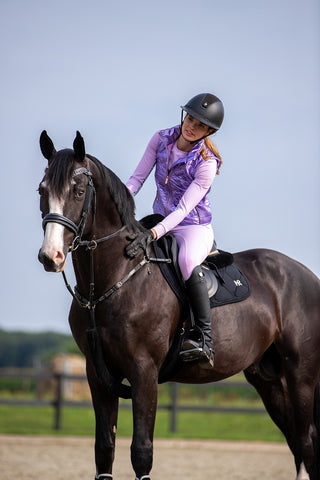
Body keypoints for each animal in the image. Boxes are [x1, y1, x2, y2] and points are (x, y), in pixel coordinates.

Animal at [37, 131, 320, 480]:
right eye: (42, 191)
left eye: (78, 192)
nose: (50, 256)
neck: (114, 280)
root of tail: (306, 276)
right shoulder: (97, 372)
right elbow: (104, 449)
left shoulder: (144, 371)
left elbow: (141, 452)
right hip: (268, 380)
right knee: (297, 441)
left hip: (300, 375)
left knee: (305, 441)